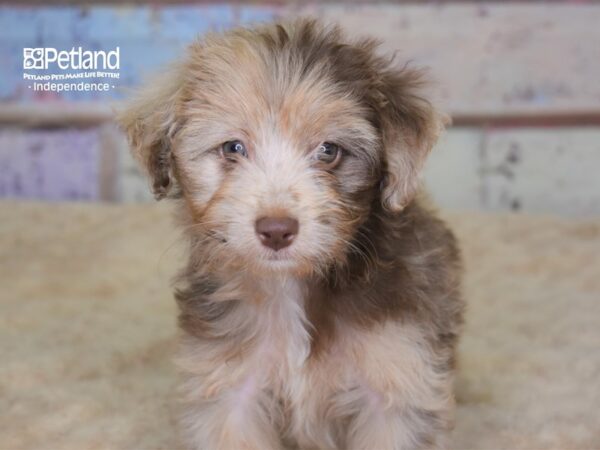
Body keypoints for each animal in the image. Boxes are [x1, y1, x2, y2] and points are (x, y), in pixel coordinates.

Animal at [118, 18, 464, 450]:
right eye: (233, 148)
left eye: (329, 150)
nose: (276, 230)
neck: (292, 287)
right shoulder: (230, 388)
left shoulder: (398, 379)